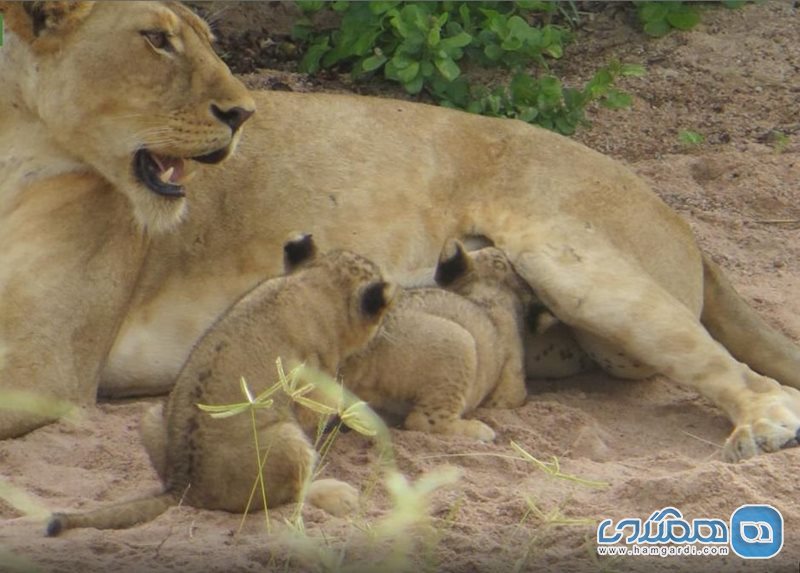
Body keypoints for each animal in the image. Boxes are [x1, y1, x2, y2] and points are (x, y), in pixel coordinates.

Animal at [1, 1, 800, 460]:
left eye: (200, 40)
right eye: (156, 41)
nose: (242, 112)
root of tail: (677, 215)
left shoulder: (48, 370)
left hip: (571, 260)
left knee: (746, 374)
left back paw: (759, 425)